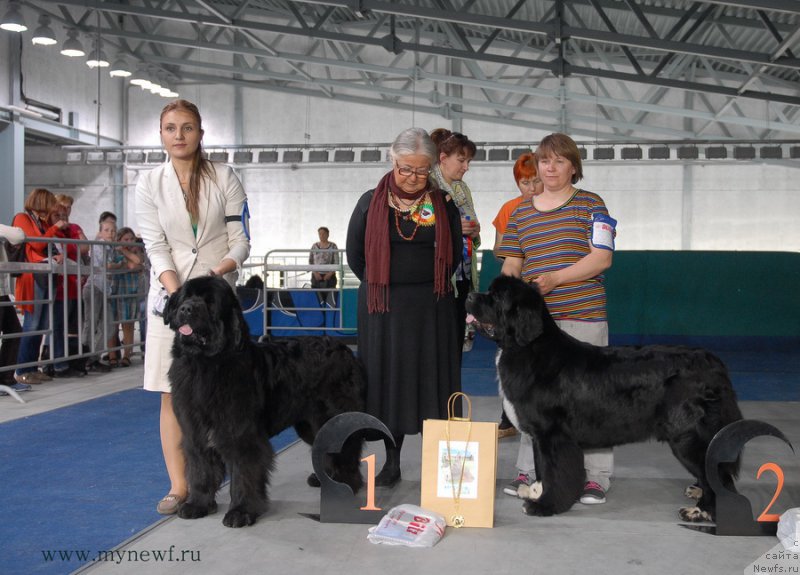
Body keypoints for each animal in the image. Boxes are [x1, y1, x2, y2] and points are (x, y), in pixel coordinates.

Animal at [164, 276, 364, 528]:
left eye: (209, 302)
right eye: (186, 297)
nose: (186, 309)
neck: (205, 364)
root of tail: (345, 350)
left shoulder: (241, 435)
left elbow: (243, 474)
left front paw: (241, 511)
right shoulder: (195, 431)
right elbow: (200, 468)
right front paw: (197, 504)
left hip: (335, 416)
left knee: (346, 449)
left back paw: (345, 486)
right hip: (309, 424)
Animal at [462, 274, 744, 520]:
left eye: (497, 297)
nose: (469, 295)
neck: (528, 347)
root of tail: (714, 363)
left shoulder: (553, 434)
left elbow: (555, 472)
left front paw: (545, 505)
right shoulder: (540, 436)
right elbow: (541, 466)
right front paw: (535, 491)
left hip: (687, 436)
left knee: (716, 474)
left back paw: (701, 511)